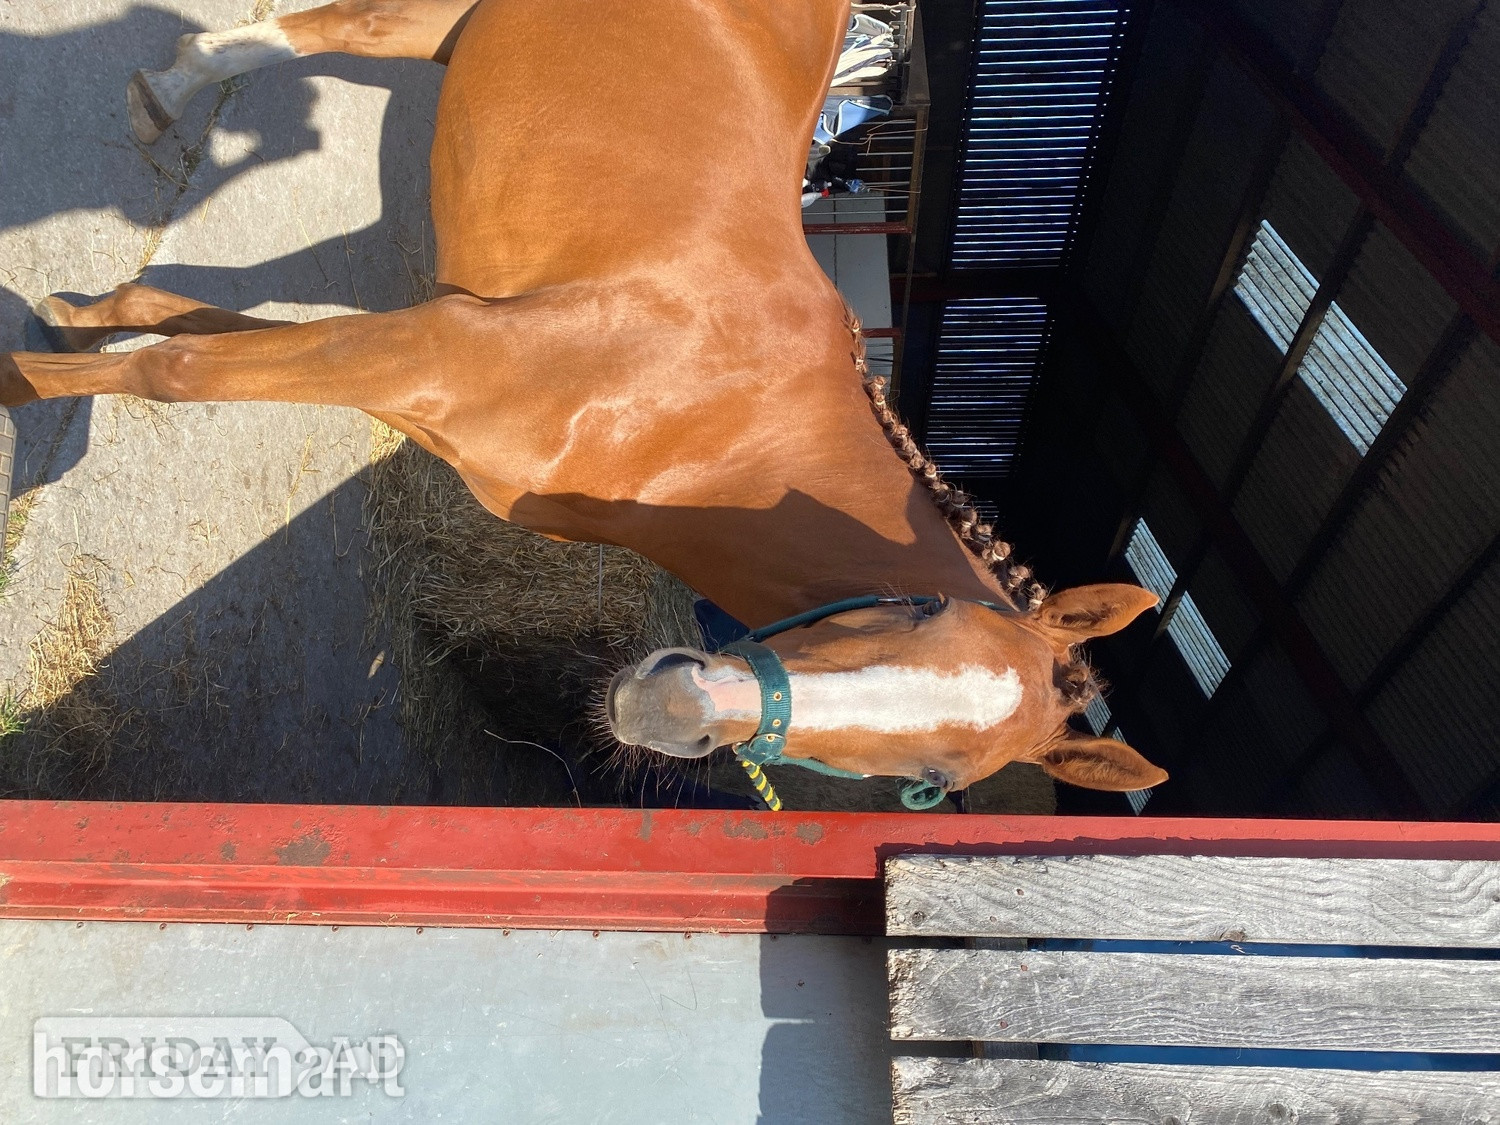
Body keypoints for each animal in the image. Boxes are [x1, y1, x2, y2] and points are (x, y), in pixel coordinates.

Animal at [1, 0, 1168, 807]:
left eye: (931, 782)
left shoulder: (416, 362)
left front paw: (89, 315)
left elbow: (191, 331)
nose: (679, 703)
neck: (710, 425)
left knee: (321, 33)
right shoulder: (429, 350)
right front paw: (25, 384)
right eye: (919, 608)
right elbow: (178, 371)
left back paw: (166, 95)